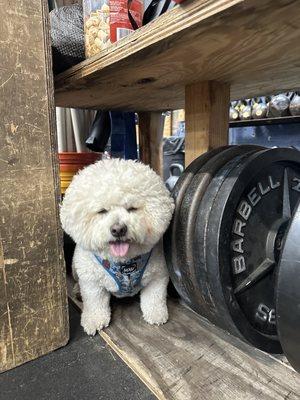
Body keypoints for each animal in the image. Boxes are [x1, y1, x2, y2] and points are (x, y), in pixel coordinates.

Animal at [60, 159, 175, 334]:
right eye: (102, 211)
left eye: (132, 208)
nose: (118, 229)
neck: (124, 262)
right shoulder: (91, 282)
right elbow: (94, 302)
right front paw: (94, 320)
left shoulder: (158, 274)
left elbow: (154, 297)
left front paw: (156, 314)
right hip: (75, 268)